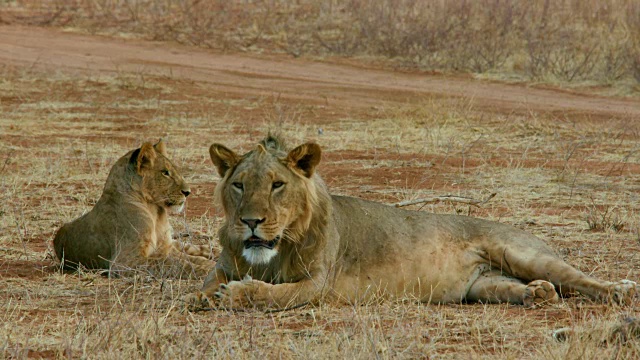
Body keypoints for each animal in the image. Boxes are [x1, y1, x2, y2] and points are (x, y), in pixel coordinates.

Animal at [53, 139, 214, 278]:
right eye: (165, 172)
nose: (188, 192)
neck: (155, 211)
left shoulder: (165, 248)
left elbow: (189, 259)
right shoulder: (124, 262)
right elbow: (173, 264)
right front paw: (210, 270)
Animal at [188, 135, 636, 310]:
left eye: (277, 185)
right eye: (239, 185)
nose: (251, 222)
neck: (275, 248)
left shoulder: (318, 283)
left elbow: (275, 295)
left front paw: (238, 294)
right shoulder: (223, 265)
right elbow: (205, 284)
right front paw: (210, 295)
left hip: (522, 252)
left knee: (578, 278)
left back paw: (621, 290)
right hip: (482, 286)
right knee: (516, 287)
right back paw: (537, 294)